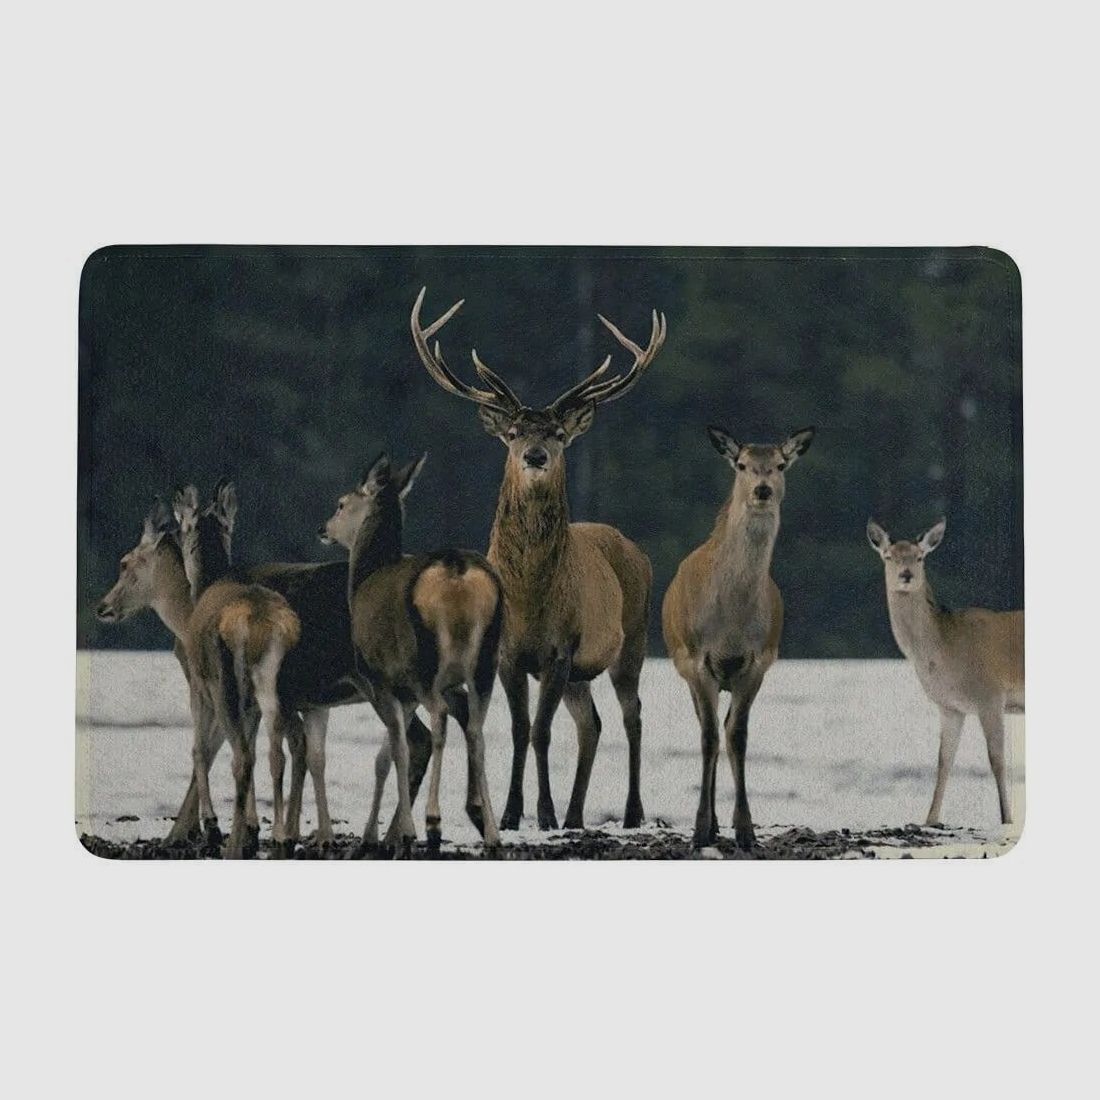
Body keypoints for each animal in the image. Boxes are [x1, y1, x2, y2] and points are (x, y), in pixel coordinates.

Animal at [171, 481, 302, 858]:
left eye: (182, 528)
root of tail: (259, 623)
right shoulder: (253, 703)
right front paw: (253, 828)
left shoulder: (198, 683)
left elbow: (199, 750)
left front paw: (213, 826)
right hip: (281, 686)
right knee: (278, 751)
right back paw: (280, 838)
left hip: (223, 680)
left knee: (241, 757)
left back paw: (230, 842)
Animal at [321, 452, 504, 855]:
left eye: (341, 503)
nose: (324, 528)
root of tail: (457, 570)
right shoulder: (415, 690)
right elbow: (392, 752)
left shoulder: (381, 679)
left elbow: (398, 751)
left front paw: (397, 834)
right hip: (485, 661)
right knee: (477, 730)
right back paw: (493, 833)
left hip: (423, 661)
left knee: (440, 719)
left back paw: (434, 823)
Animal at [410, 287, 663, 831]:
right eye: (512, 433)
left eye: (559, 435)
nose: (534, 456)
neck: (528, 596)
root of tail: (633, 547)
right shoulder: (506, 652)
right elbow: (520, 729)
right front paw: (510, 814)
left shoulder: (560, 648)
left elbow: (541, 732)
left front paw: (541, 814)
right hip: (582, 674)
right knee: (592, 723)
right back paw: (575, 815)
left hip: (632, 637)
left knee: (632, 715)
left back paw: (630, 813)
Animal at [662, 425, 815, 850]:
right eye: (742, 464)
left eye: (780, 464)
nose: (762, 489)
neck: (731, 624)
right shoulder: (697, 660)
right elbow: (709, 738)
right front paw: (700, 829)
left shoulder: (757, 662)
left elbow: (738, 736)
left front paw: (746, 830)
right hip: (687, 666)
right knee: (708, 730)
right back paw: (712, 824)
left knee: (725, 728)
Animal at [866, 517, 1024, 826]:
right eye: (889, 556)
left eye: (920, 557)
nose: (905, 575)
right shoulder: (950, 706)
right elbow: (944, 760)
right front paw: (929, 819)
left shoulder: (991, 694)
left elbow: (997, 759)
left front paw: (1007, 819)